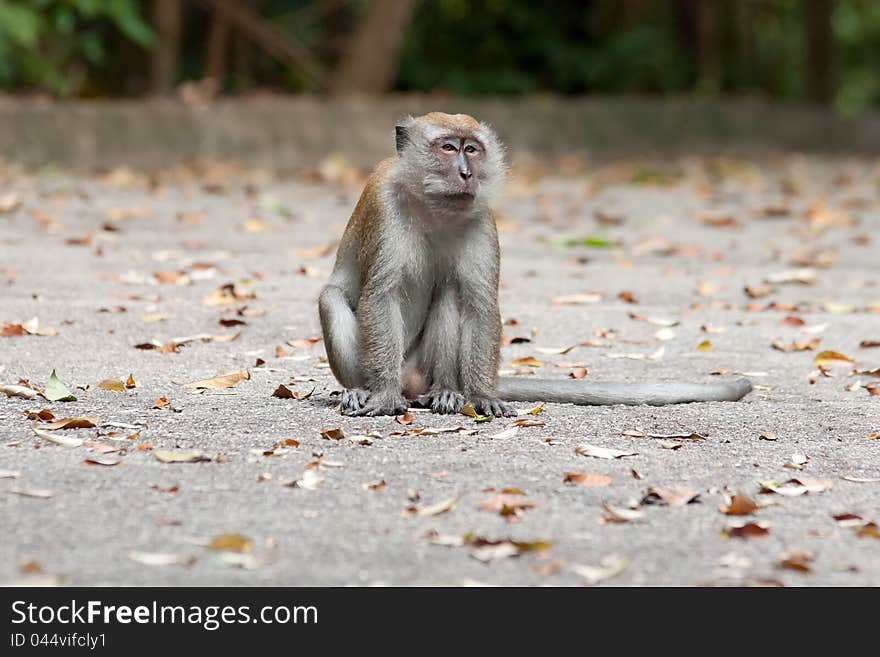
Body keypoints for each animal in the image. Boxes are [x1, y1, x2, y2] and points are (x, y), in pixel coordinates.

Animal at [316, 112, 748, 416]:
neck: (432, 206)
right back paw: (362, 389)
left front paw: (482, 395)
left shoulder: (481, 219)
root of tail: (414, 381)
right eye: (448, 148)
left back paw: (446, 391)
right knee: (330, 297)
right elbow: (380, 295)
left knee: (452, 292)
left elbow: (480, 304)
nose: (466, 173)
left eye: (472, 149)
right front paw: (385, 394)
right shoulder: (384, 208)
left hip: (421, 368)